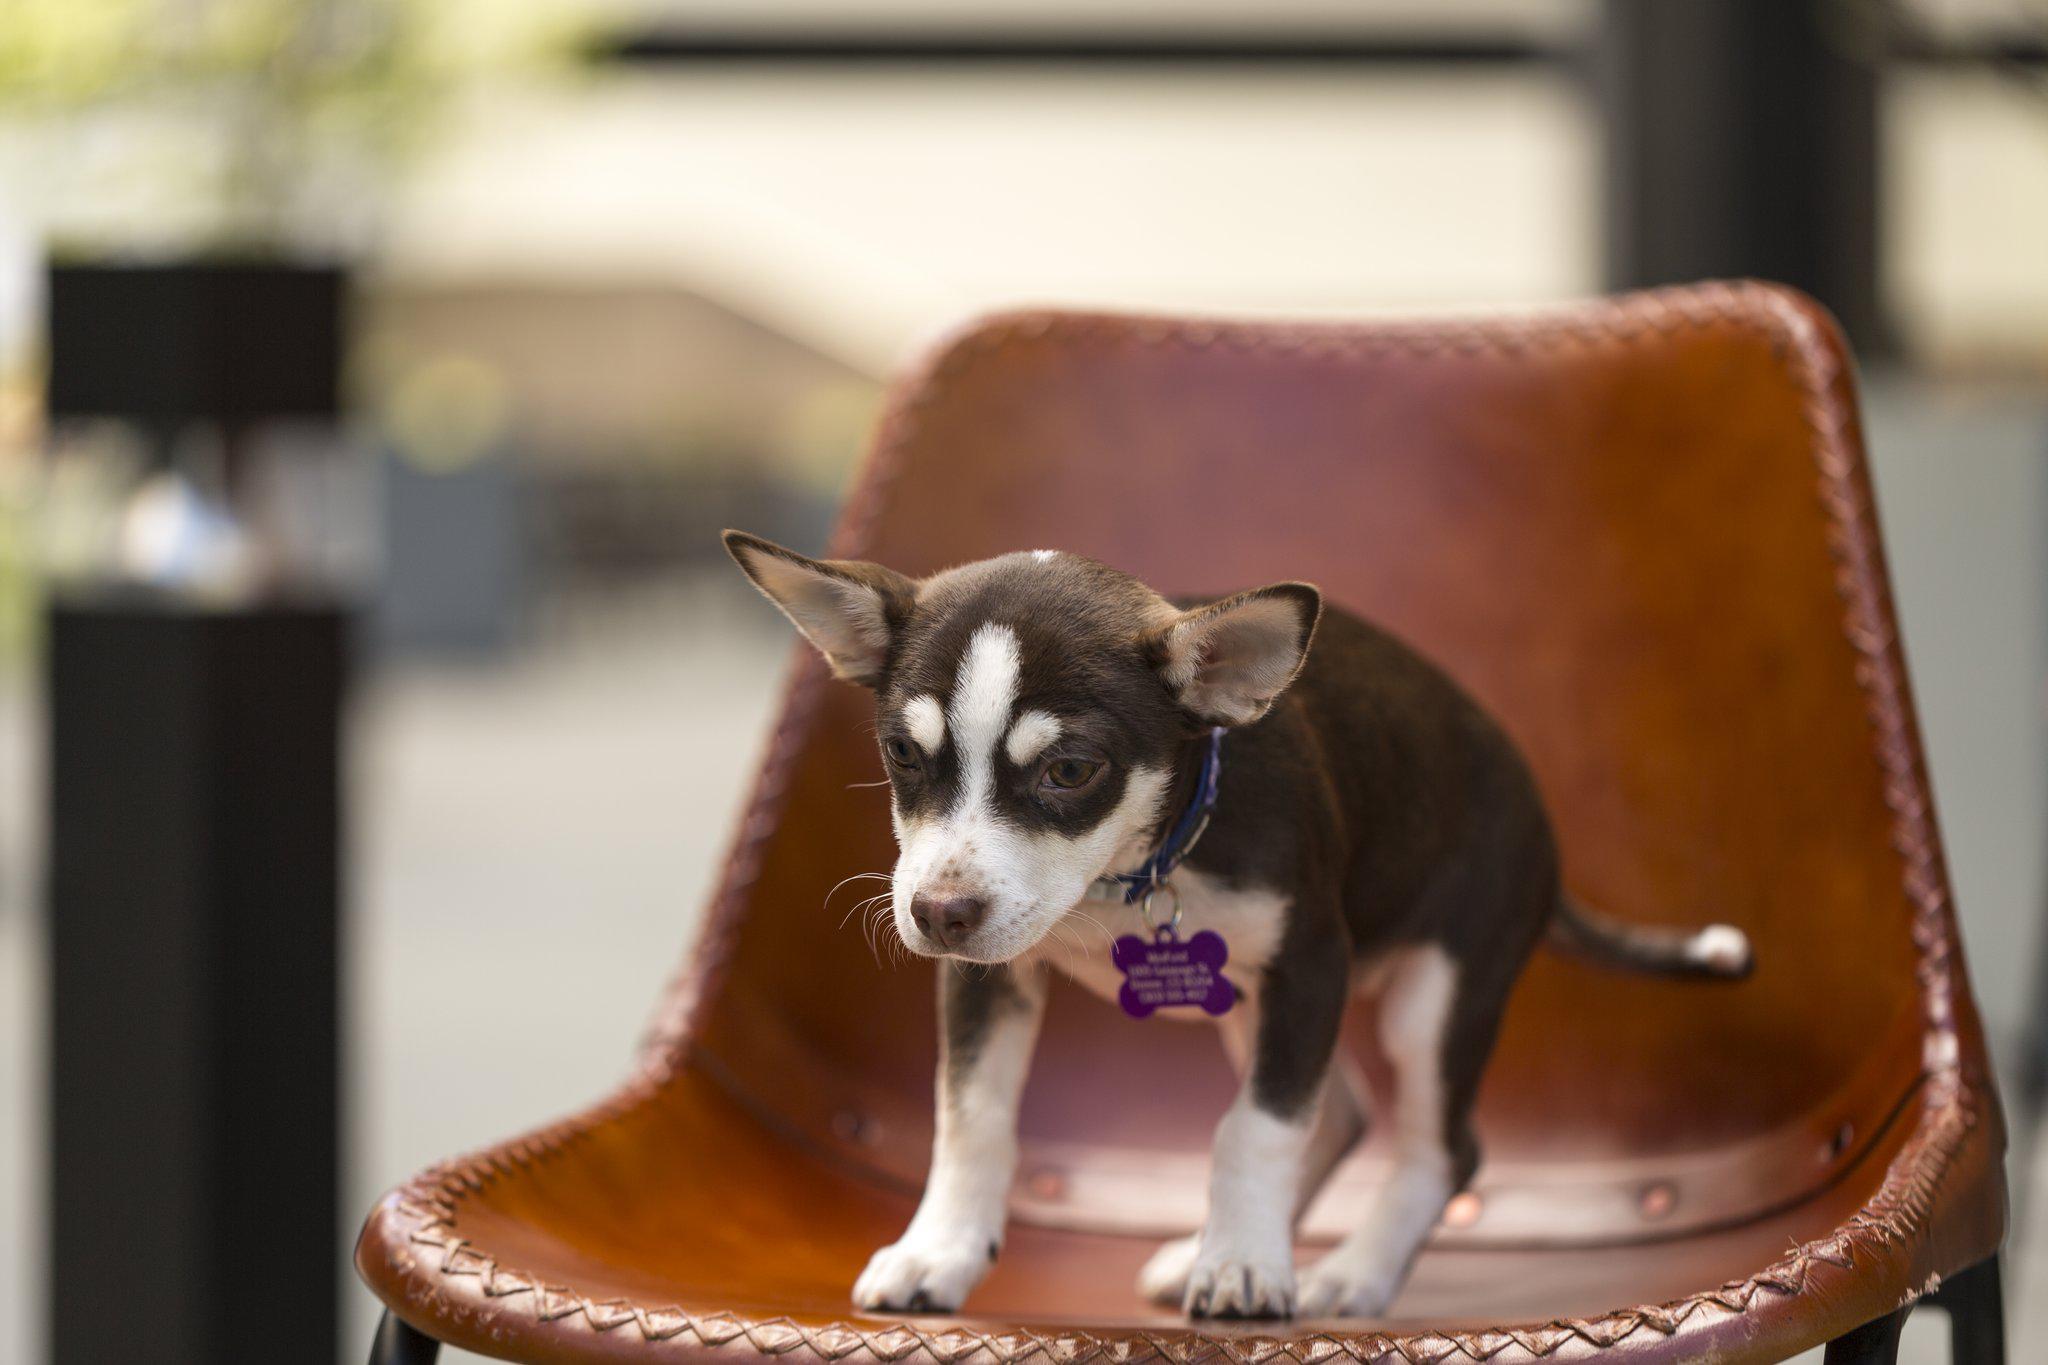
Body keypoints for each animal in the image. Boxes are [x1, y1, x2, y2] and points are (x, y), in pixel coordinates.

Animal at [720, 532, 1744, 1326]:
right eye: (901, 752)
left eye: (1070, 770)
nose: (936, 913)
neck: (1126, 875)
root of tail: (1550, 849)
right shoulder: (988, 972)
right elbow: (971, 1114)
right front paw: (942, 1249)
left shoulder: (1311, 966)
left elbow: (1254, 1128)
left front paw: (1248, 1267)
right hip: (1249, 1006)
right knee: (1344, 1111)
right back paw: (1214, 1246)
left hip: (1435, 993)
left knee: (1437, 1147)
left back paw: (1347, 1272)